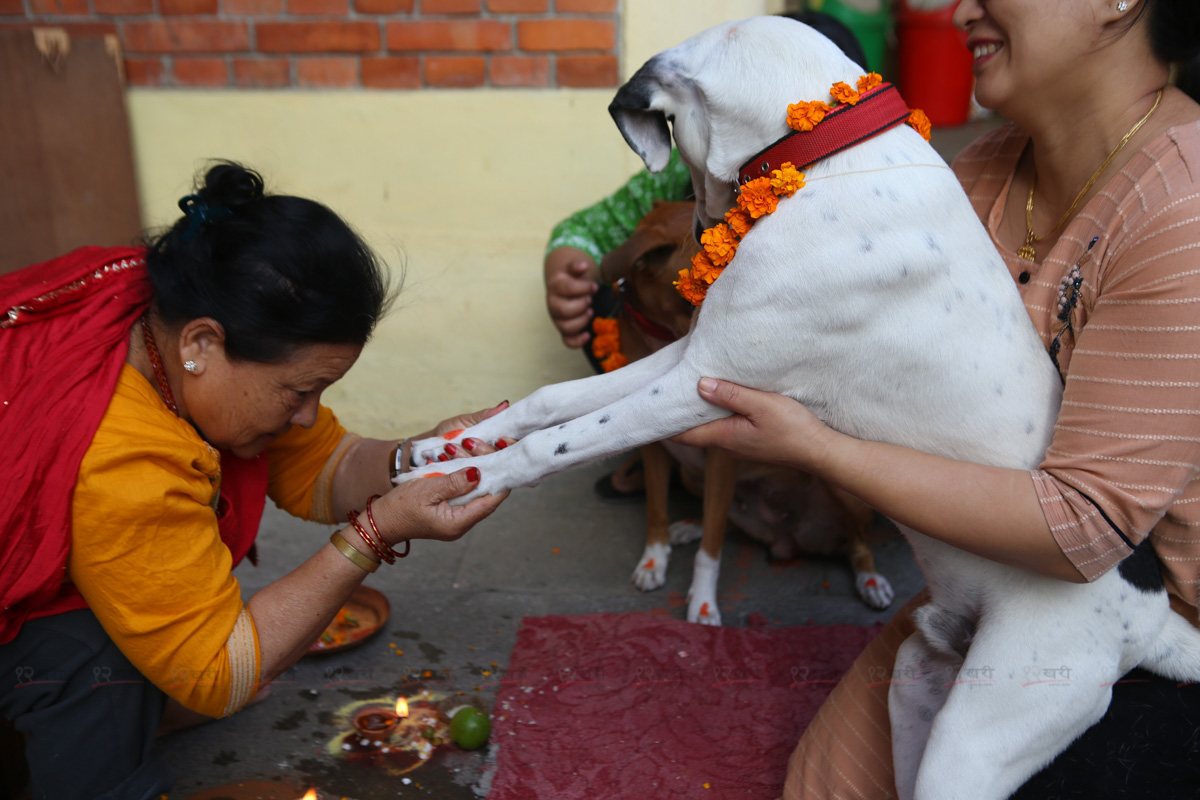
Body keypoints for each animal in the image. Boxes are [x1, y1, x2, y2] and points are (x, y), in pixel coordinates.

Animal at [600, 200, 892, 623]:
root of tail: (788, 542)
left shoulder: (723, 455)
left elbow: (712, 547)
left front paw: (703, 602)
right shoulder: (654, 451)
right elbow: (656, 509)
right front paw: (654, 558)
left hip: (845, 490)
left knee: (857, 544)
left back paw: (870, 579)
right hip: (692, 478)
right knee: (724, 521)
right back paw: (687, 527)